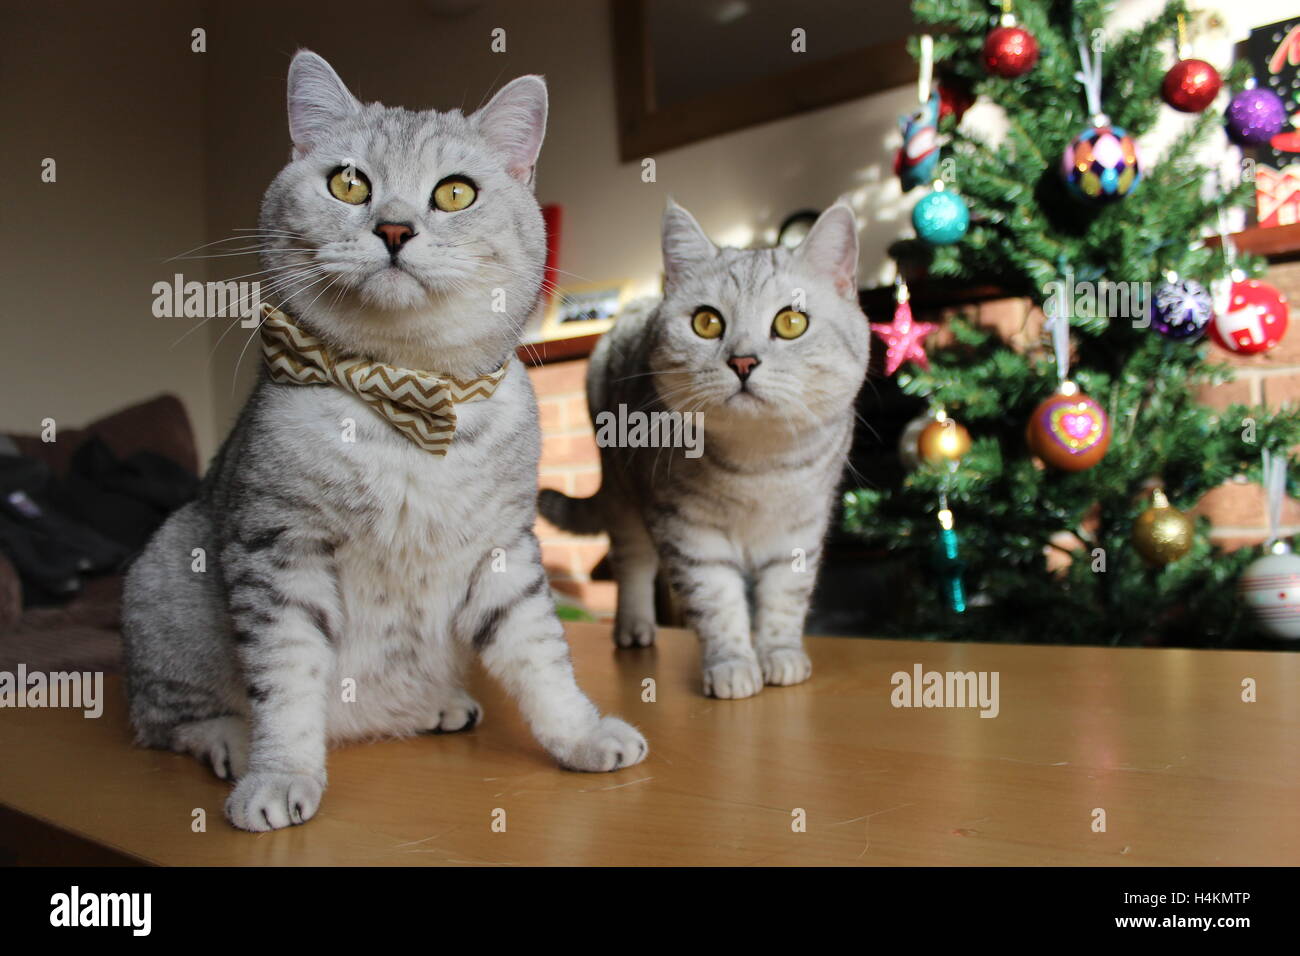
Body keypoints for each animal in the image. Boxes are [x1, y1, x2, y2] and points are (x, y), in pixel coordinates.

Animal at [122, 50, 644, 832]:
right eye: (349, 183)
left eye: (455, 193)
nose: (395, 230)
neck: (403, 391)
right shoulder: (279, 549)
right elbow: (287, 682)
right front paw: (282, 774)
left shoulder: (503, 550)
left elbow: (541, 656)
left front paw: (579, 735)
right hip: (164, 575)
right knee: (162, 718)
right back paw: (231, 741)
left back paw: (435, 706)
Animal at [543, 200, 868, 697]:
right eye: (707, 322)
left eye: (791, 322)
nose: (743, 361)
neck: (759, 466)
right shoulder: (689, 530)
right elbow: (717, 602)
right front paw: (732, 665)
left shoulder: (801, 529)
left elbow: (784, 598)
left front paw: (779, 655)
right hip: (622, 497)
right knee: (633, 565)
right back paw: (633, 629)